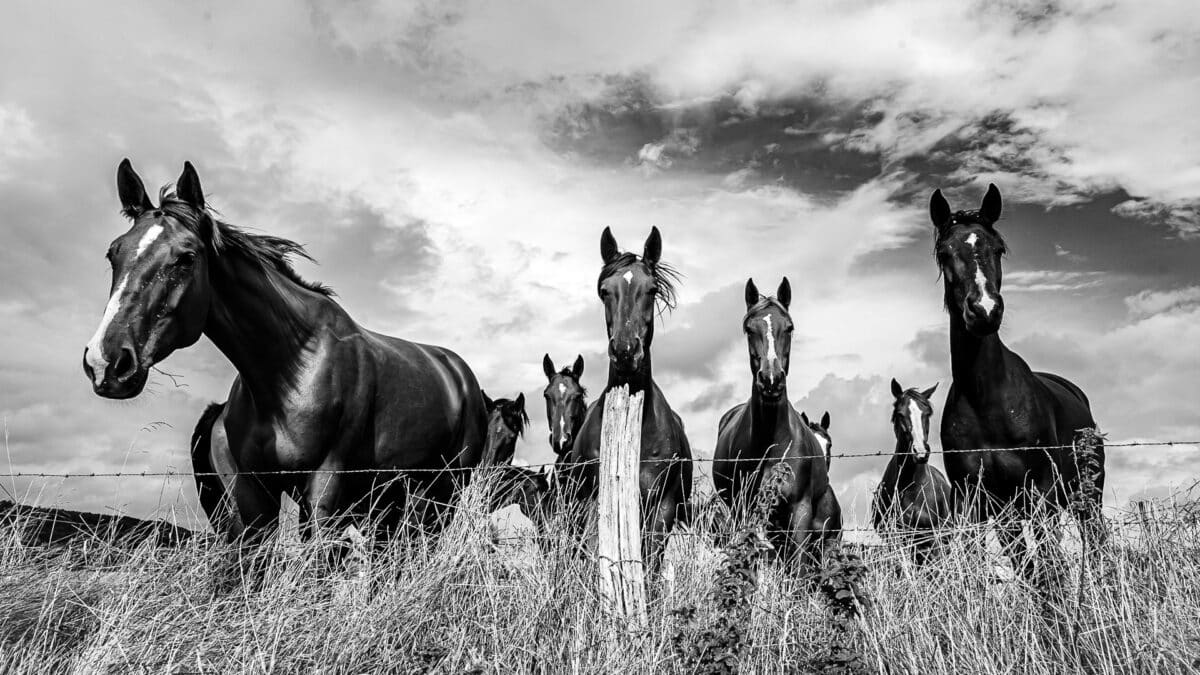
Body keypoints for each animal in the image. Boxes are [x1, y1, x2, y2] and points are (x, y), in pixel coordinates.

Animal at [85, 159, 488, 547]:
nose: (105, 361)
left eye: (185, 258)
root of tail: (459, 374)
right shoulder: (252, 497)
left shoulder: (324, 486)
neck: (288, 371)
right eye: (113, 253)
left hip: (441, 492)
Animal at [713, 278, 840, 573]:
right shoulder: (745, 510)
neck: (771, 442)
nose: (771, 381)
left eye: (789, 327)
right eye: (749, 329)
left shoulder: (800, 511)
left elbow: (799, 567)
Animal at [872, 379, 953, 566]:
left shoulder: (931, 536)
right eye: (900, 414)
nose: (920, 452)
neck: (912, 486)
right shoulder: (896, 537)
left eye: (927, 413)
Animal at [930, 183, 1106, 576]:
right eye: (945, 253)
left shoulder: (1040, 494)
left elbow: (1050, 567)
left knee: (1096, 543)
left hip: (1087, 497)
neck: (988, 400)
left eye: (998, 248)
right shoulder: (975, 502)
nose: (984, 311)